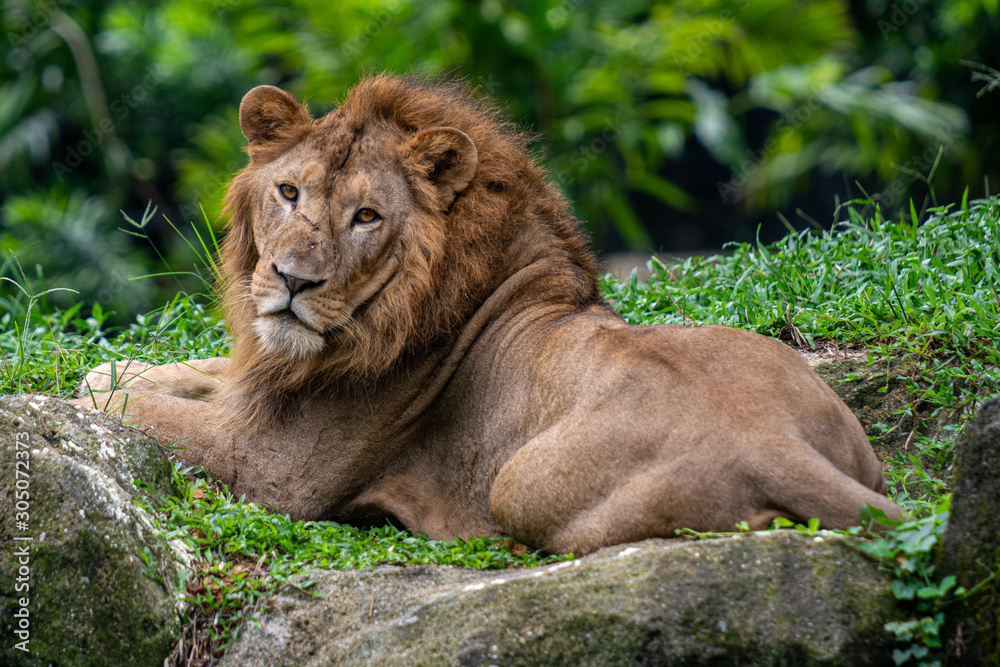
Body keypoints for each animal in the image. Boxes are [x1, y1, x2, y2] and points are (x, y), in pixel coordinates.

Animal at [75, 75, 904, 555]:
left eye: (367, 216)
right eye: (288, 192)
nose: (290, 280)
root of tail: (772, 440)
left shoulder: (276, 469)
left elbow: (136, 408)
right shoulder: (266, 382)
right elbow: (148, 374)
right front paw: (118, 368)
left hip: (519, 480)